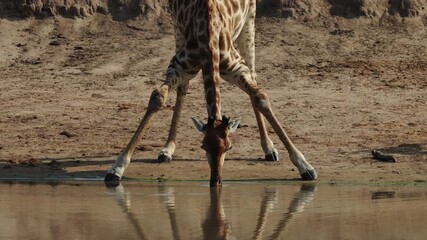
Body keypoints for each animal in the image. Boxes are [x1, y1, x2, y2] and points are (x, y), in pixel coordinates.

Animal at [103, 0, 318, 187]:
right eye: (203, 147)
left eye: (229, 147)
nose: (216, 181)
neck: (208, 35)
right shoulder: (180, 65)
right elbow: (158, 97)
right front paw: (117, 168)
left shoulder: (236, 67)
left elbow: (260, 97)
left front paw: (305, 166)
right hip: (177, 30)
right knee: (183, 87)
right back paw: (168, 149)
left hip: (249, 23)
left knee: (254, 76)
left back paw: (269, 149)